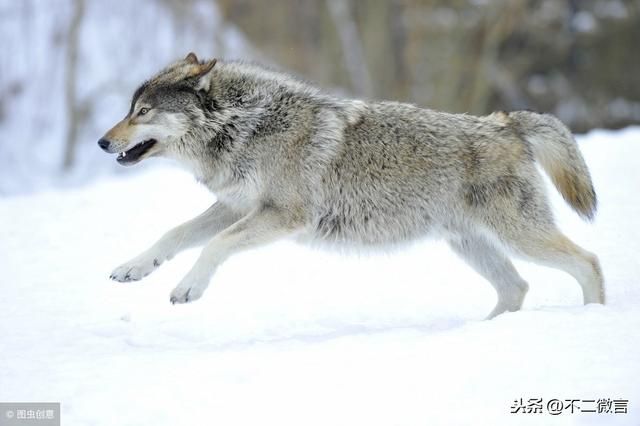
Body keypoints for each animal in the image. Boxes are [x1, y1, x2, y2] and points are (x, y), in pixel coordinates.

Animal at [97, 51, 604, 318]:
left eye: (142, 112)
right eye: (129, 109)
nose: (102, 142)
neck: (246, 126)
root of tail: (506, 122)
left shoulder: (281, 216)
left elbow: (213, 246)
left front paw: (189, 288)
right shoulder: (236, 207)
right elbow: (175, 234)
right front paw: (134, 268)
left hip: (518, 237)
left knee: (589, 262)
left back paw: (593, 317)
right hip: (469, 244)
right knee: (515, 288)